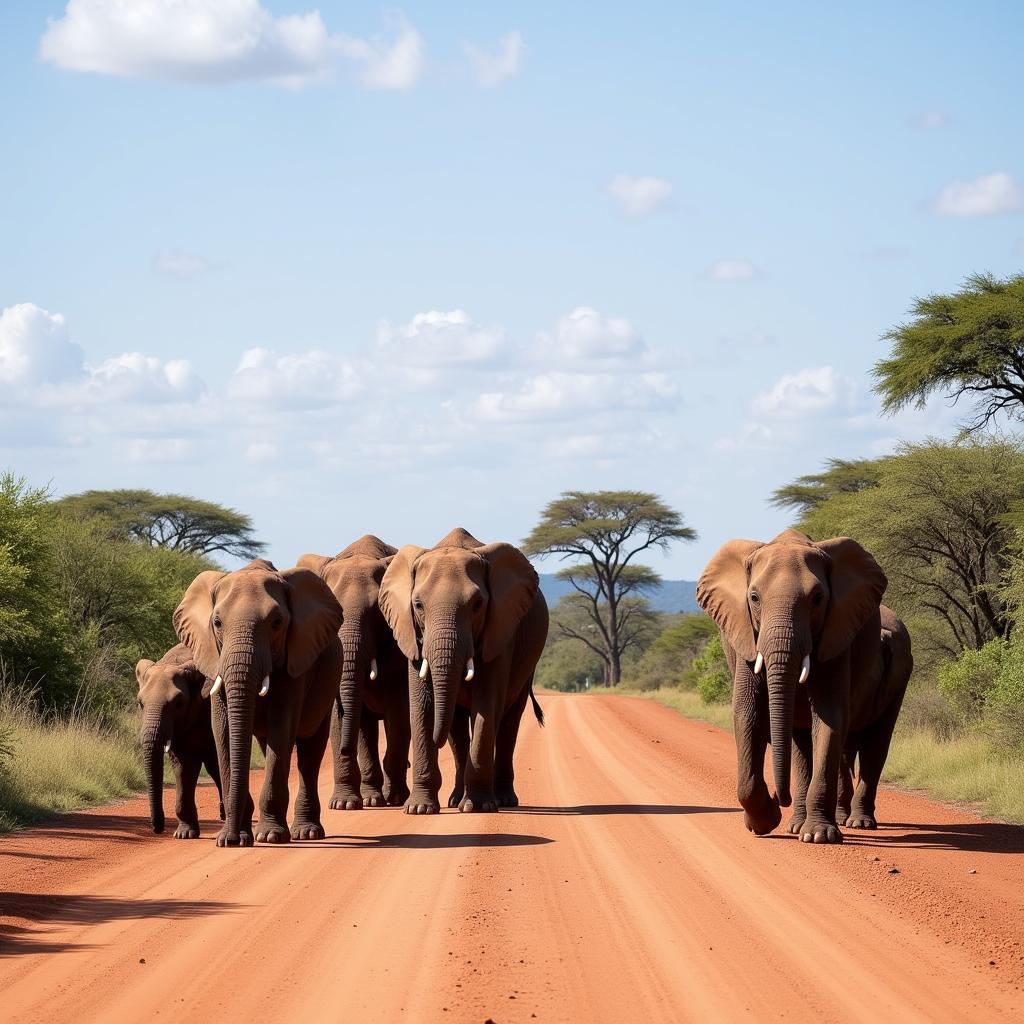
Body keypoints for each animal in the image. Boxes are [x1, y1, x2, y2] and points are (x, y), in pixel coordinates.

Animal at [169, 561, 342, 847]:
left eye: (277, 623)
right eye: (217, 623)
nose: (231, 839)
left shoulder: (295, 660)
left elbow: (281, 726)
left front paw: (270, 836)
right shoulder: (214, 660)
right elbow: (224, 731)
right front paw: (232, 838)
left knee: (310, 751)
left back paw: (306, 832)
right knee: (267, 741)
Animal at [296, 540, 407, 811]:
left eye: (377, 611)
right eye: (334, 614)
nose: (346, 750)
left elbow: (397, 713)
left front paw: (396, 798)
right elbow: (340, 720)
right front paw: (344, 804)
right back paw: (371, 798)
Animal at [380, 528, 548, 815]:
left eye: (477, 604)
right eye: (418, 605)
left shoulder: (500, 628)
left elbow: (486, 704)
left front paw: (478, 807)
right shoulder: (411, 635)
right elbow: (422, 706)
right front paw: (419, 809)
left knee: (508, 723)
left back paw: (502, 800)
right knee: (457, 732)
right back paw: (455, 799)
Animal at [696, 532, 913, 843]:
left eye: (818, 599)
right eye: (754, 598)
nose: (779, 798)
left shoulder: (838, 637)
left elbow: (829, 717)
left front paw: (819, 836)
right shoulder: (745, 637)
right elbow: (747, 713)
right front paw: (764, 823)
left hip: (901, 672)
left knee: (876, 744)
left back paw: (857, 823)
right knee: (805, 745)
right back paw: (799, 824)